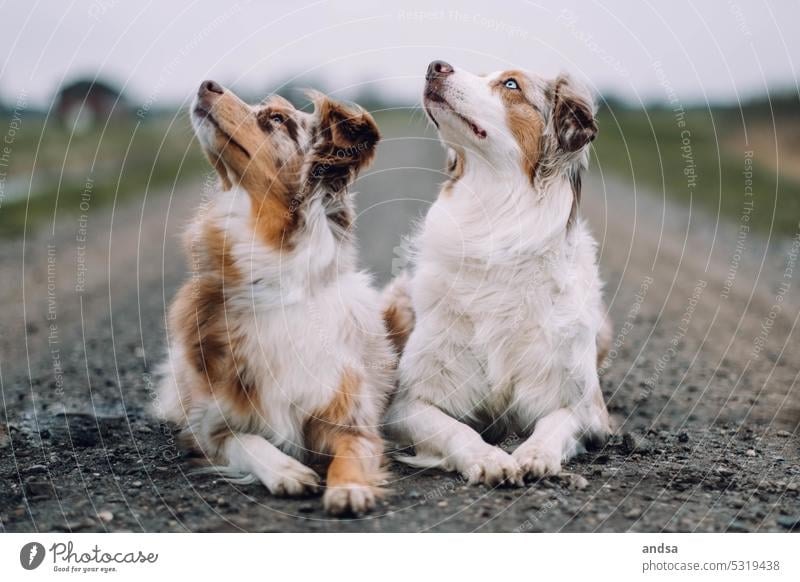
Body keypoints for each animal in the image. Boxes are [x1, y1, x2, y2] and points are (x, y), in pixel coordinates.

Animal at [155, 78, 396, 516]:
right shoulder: (210, 427)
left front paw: (348, 487)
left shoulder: (353, 420)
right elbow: (246, 440)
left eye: (278, 119)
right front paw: (286, 469)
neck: (278, 283)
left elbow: (351, 453)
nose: (206, 84)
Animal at [382, 61, 612, 486]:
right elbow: (455, 428)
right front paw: (488, 458)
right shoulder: (404, 402)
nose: (435, 65)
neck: (493, 224)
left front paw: (535, 454)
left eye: (510, 84)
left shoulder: (587, 408)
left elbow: (554, 424)